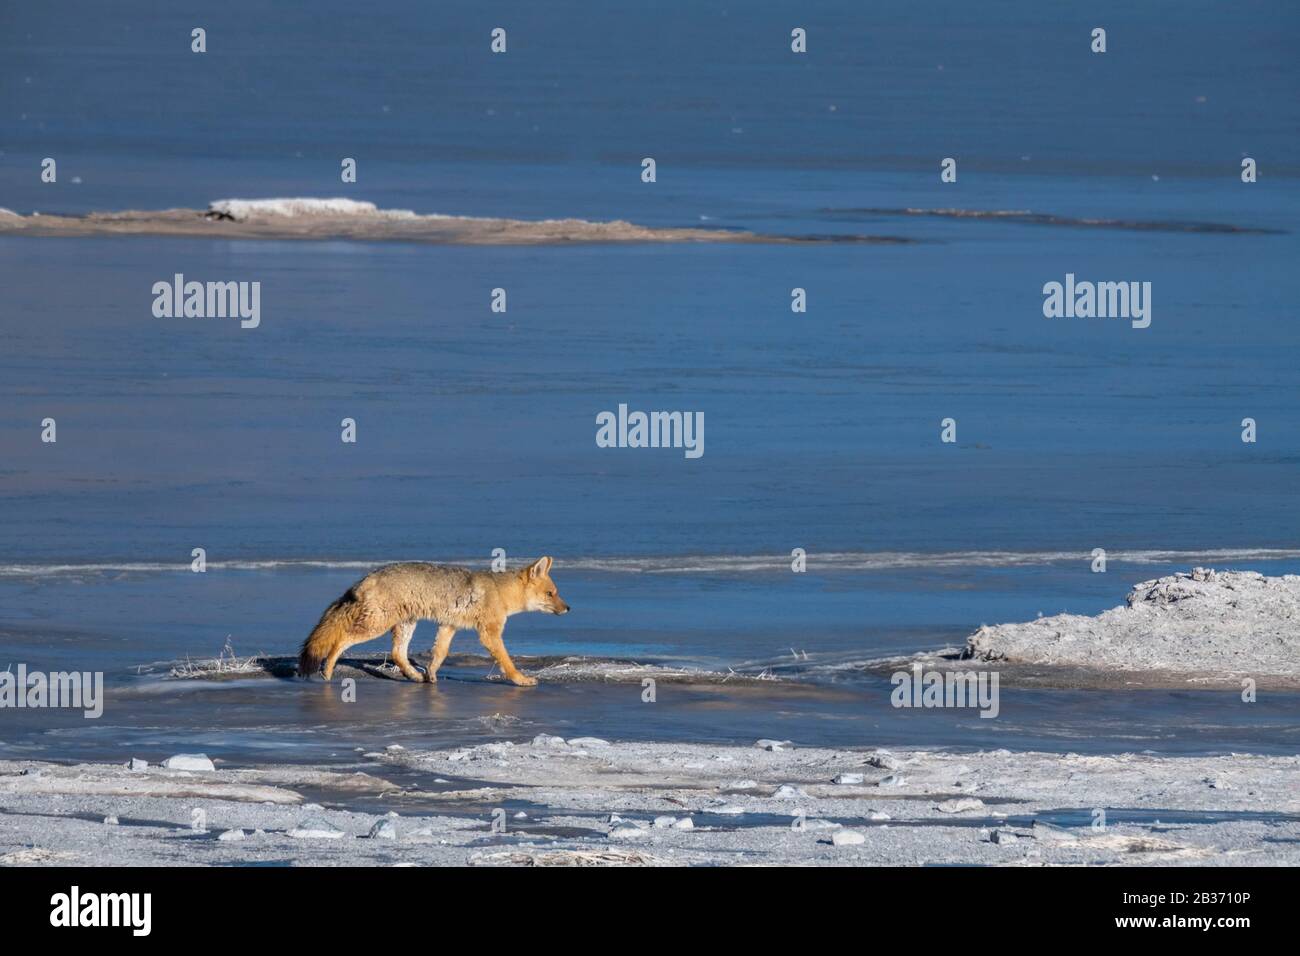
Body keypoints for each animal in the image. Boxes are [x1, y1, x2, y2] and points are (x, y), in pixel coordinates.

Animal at [297, 556, 569, 686]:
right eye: (551, 594)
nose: (568, 608)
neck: (500, 591)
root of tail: (367, 576)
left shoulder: (449, 626)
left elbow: (440, 654)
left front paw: (431, 675)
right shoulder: (489, 633)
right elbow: (506, 660)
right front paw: (520, 679)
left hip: (405, 624)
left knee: (397, 653)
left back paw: (414, 676)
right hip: (376, 625)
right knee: (340, 641)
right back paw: (327, 670)